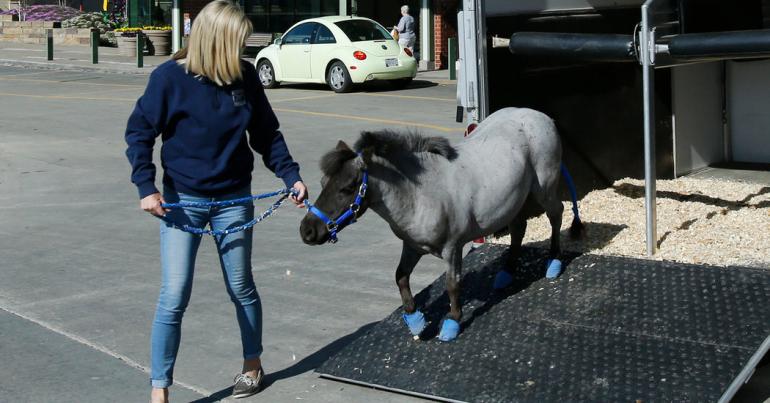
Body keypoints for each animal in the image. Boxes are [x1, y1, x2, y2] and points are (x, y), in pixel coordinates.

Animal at [296, 107, 580, 340]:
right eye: (322, 183)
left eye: (347, 187)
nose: (307, 231)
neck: (420, 193)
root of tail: (543, 117)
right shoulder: (412, 247)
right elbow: (400, 276)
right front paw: (415, 320)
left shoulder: (452, 248)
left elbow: (453, 284)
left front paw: (452, 323)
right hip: (515, 199)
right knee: (519, 229)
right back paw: (506, 272)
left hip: (544, 188)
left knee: (556, 214)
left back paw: (553, 263)